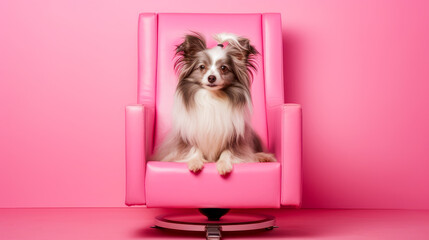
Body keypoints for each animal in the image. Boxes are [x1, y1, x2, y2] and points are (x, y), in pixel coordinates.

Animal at [152, 31, 276, 174]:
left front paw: (223, 164)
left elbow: (228, 152)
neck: (212, 97)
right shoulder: (188, 136)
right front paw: (195, 162)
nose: (211, 78)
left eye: (223, 68)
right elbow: (194, 149)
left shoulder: (234, 138)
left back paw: (263, 157)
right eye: (202, 67)